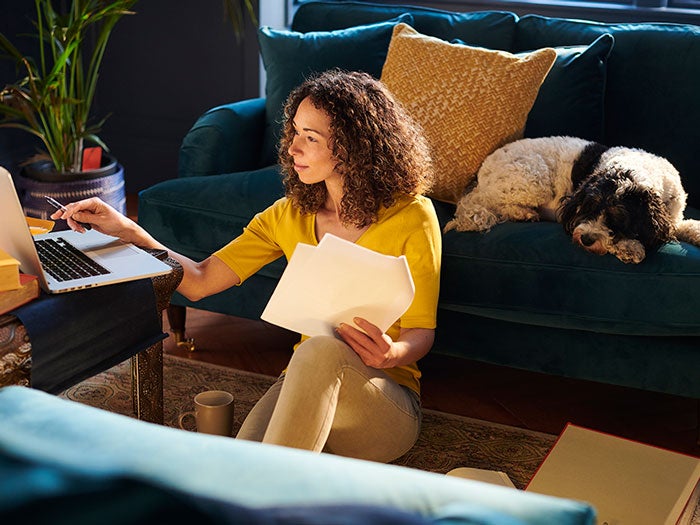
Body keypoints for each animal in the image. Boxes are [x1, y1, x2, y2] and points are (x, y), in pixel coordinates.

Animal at [446, 135, 700, 262]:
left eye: (618, 217)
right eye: (587, 209)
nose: (586, 239)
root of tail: (480, 176)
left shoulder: (672, 218)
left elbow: (683, 226)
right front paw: (629, 247)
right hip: (534, 179)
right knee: (497, 204)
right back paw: (524, 213)